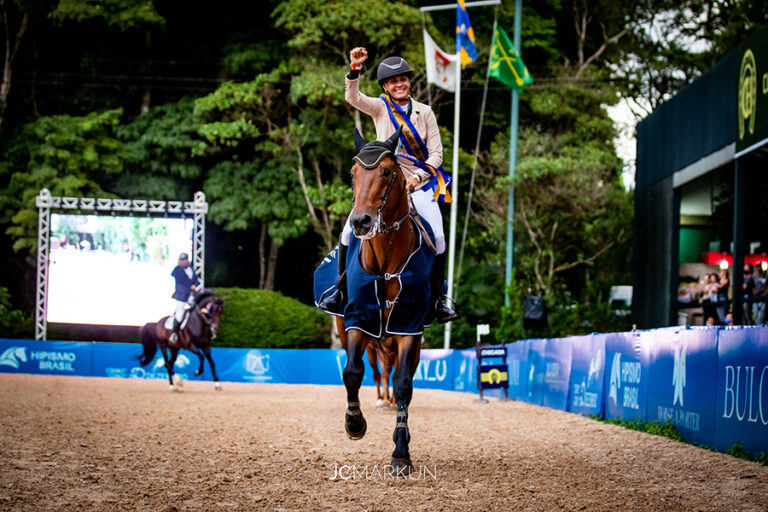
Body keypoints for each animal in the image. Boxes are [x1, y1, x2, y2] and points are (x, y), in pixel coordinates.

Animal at [342, 129, 432, 476]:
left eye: (386, 171)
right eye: (353, 174)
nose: (361, 222)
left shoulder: (409, 327)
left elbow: (404, 382)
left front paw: (401, 453)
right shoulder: (357, 320)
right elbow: (352, 372)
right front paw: (354, 423)